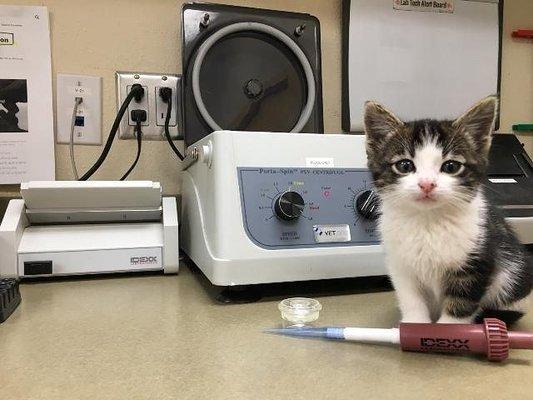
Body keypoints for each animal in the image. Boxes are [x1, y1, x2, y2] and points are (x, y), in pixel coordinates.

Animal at [364, 97, 528, 324]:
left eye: (451, 166)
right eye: (405, 165)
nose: (427, 184)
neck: (428, 221)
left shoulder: (477, 261)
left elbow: (460, 305)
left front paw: (446, 330)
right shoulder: (400, 264)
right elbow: (411, 298)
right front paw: (415, 325)